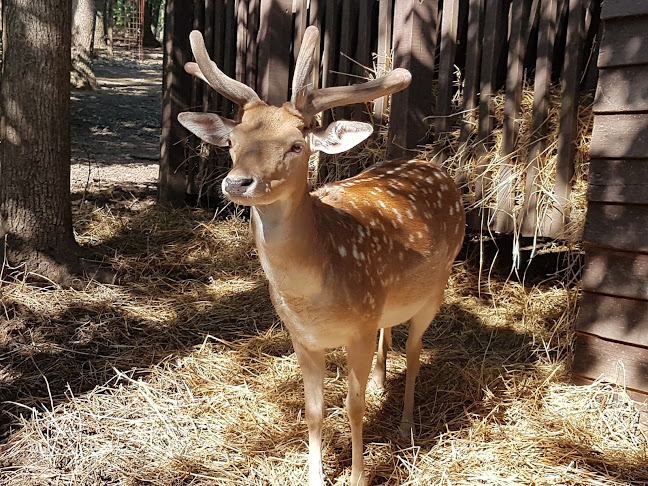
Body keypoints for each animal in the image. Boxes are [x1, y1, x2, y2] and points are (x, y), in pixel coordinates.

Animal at [178, 25, 466, 486]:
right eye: (233, 142)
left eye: (297, 145)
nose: (237, 183)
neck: (311, 297)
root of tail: (434, 166)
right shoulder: (302, 337)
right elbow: (313, 410)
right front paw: (314, 475)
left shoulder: (358, 328)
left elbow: (353, 406)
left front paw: (360, 475)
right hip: (386, 302)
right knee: (392, 332)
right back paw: (383, 382)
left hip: (436, 288)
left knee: (416, 350)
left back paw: (406, 426)